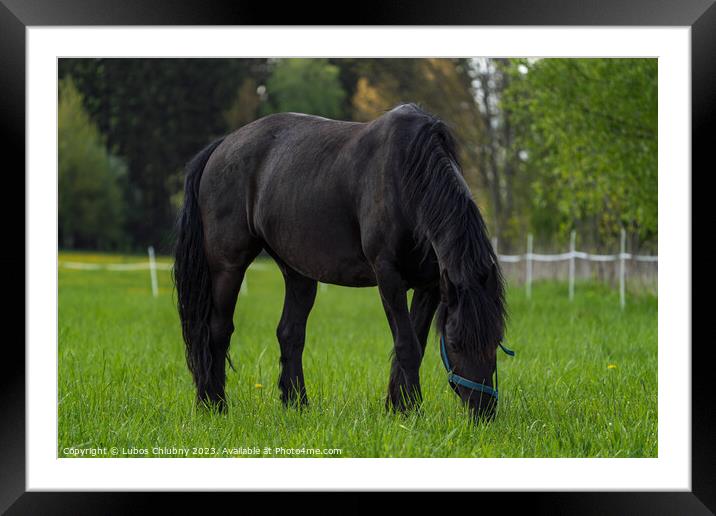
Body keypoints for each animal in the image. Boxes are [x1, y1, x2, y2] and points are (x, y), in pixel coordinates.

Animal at [174, 103, 510, 422]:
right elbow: (407, 345)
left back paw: (296, 405)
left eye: (496, 340)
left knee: (290, 334)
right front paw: (411, 412)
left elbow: (417, 342)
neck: (407, 179)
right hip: (227, 266)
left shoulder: (429, 285)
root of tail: (222, 145)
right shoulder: (389, 276)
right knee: (217, 331)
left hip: (298, 273)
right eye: (454, 343)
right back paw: (214, 405)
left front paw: (397, 407)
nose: (484, 412)